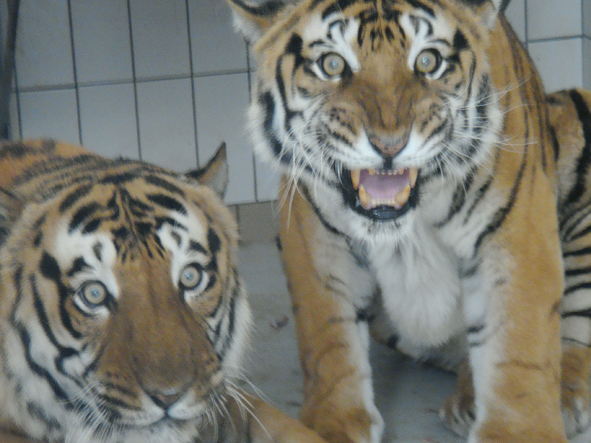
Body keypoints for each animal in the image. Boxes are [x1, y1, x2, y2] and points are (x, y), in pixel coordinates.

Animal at [229, 0, 591, 442]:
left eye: (428, 61)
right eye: (332, 64)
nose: (390, 145)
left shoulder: (516, 231)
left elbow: (519, 341)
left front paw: (520, 430)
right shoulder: (311, 232)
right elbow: (327, 334)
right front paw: (334, 423)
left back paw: (562, 396)